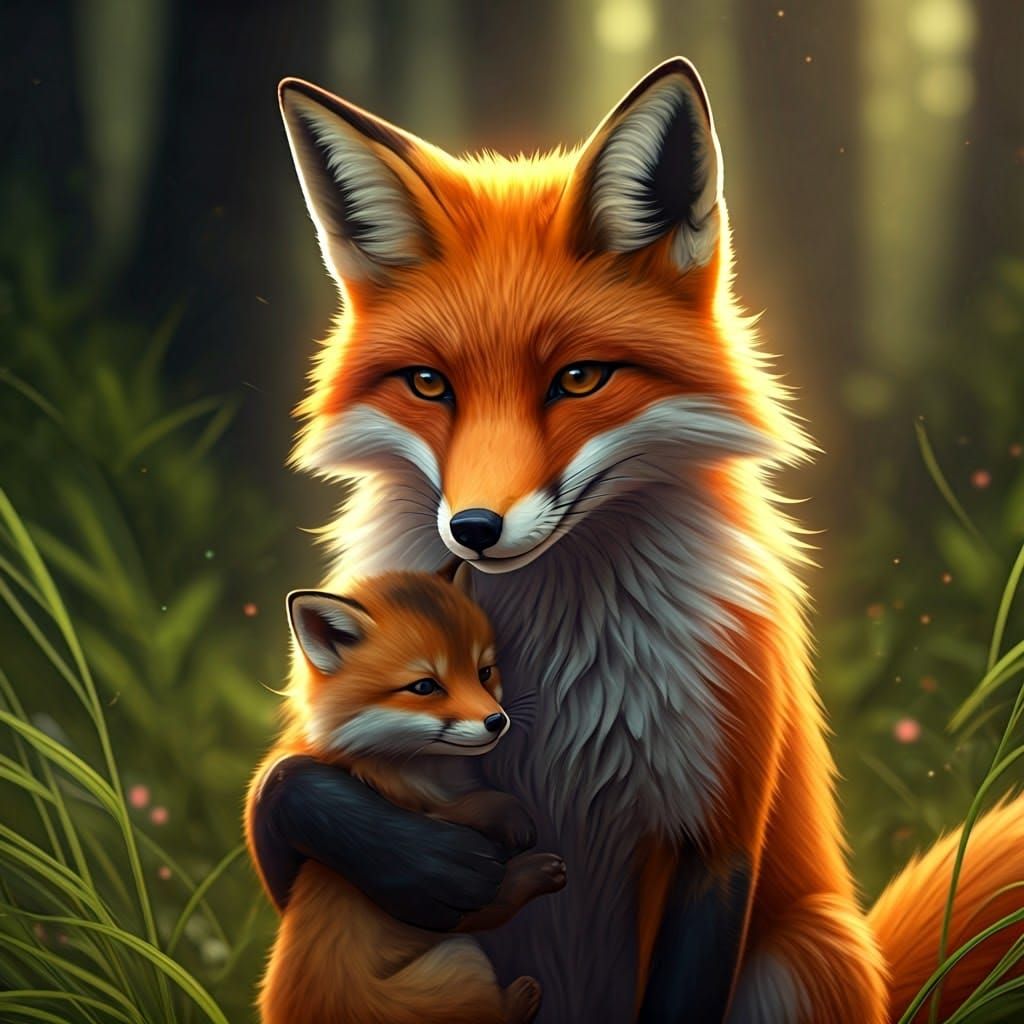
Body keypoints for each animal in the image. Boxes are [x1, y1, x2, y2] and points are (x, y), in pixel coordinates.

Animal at [247, 567, 566, 1024]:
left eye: (484, 672)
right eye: (425, 686)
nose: (496, 721)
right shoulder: (420, 809)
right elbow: (470, 809)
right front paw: (510, 817)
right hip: (460, 954)